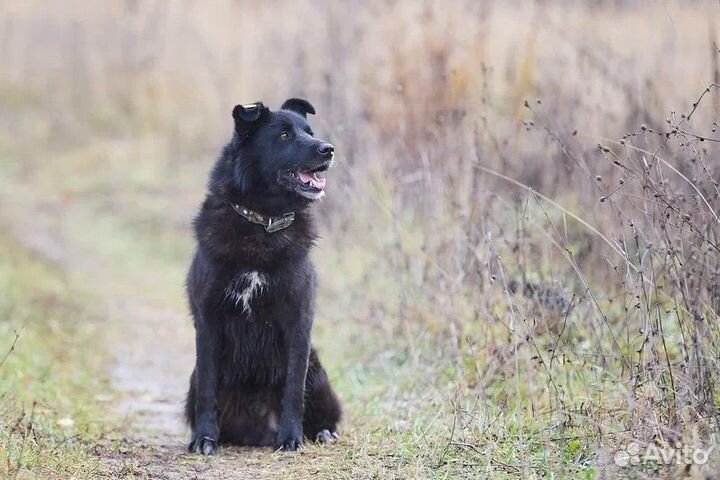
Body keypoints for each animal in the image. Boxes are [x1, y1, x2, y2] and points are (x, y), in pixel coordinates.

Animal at [186, 98, 344, 454]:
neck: (262, 222)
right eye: (284, 135)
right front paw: (204, 438)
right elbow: (208, 390)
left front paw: (291, 438)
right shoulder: (208, 319)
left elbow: (292, 389)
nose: (328, 149)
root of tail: (259, 429)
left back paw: (321, 432)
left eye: (309, 131)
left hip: (317, 370)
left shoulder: (298, 320)